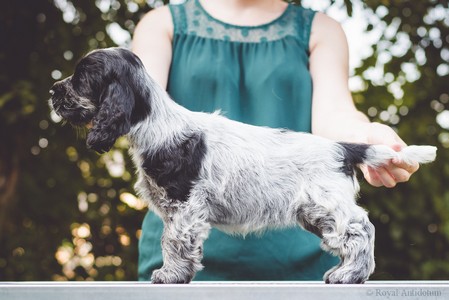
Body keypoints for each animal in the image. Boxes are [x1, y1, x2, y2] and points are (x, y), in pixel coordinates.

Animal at [49, 47, 434, 284]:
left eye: (82, 78)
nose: (53, 89)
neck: (156, 124)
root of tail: (342, 147)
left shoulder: (183, 205)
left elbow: (173, 242)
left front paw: (171, 275)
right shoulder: (178, 208)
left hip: (326, 203)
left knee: (359, 230)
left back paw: (349, 275)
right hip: (314, 213)